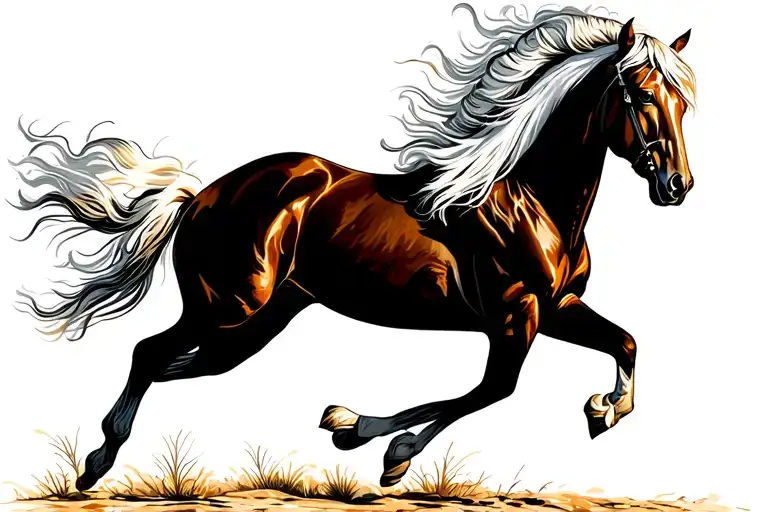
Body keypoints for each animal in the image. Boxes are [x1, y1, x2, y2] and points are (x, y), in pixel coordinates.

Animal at [10, 5, 696, 491]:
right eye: (640, 95)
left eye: (683, 102)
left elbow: (625, 343)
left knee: (178, 365)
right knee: (148, 352)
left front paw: (603, 410)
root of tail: (201, 196)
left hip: (257, 323)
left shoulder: (557, 308)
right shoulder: (514, 316)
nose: (676, 186)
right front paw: (377, 446)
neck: (529, 201)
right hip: (228, 306)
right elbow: (491, 391)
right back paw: (96, 462)